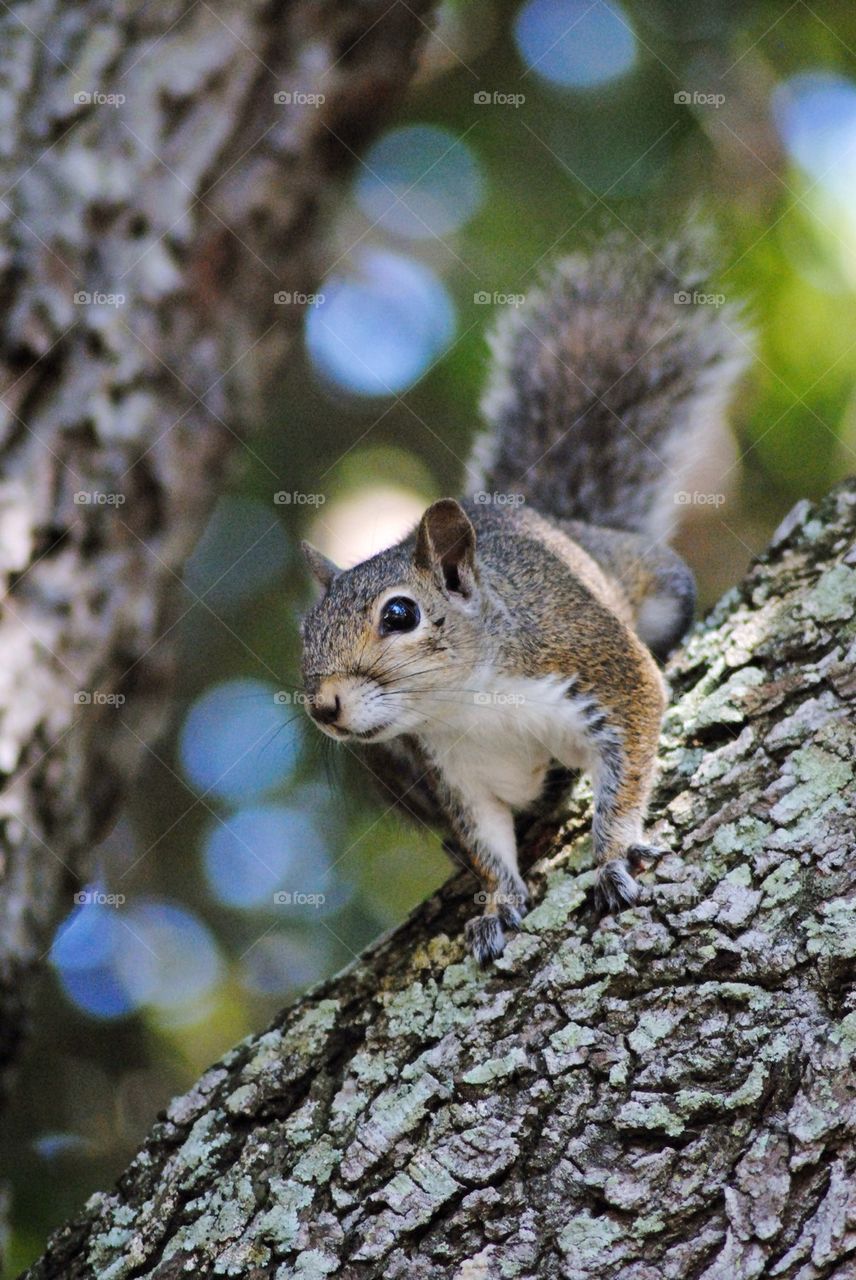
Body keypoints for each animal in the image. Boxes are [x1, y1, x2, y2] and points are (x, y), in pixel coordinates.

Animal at [299, 228, 750, 964]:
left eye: (400, 613)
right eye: (304, 632)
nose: (324, 707)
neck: (470, 699)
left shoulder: (600, 665)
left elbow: (629, 763)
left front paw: (611, 859)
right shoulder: (457, 771)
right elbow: (486, 842)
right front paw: (497, 904)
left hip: (658, 585)